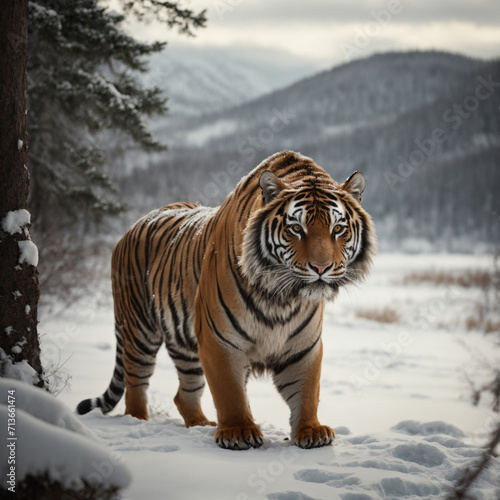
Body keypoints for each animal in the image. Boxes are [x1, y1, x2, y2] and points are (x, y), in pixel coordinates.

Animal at [76, 151, 376, 450]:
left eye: (338, 228)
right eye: (295, 228)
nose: (321, 267)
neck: (281, 297)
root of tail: (132, 226)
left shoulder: (303, 345)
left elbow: (307, 391)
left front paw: (311, 431)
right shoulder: (218, 339)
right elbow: (229, 391)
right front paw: (238, 432)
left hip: (185, 348)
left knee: (184, 394)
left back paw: (201, 425)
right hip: (140, 330)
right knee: (135, 384)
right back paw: (139, 421)